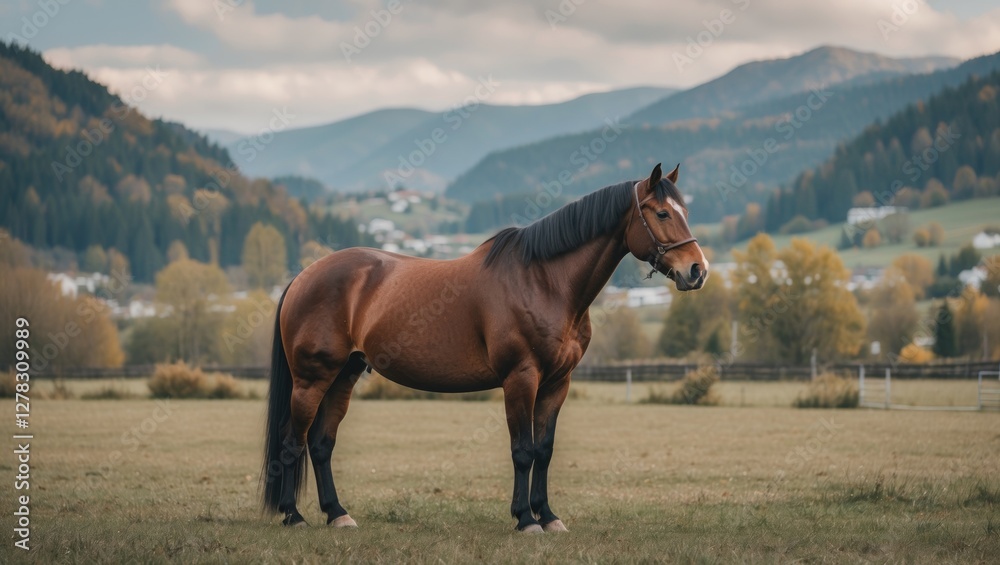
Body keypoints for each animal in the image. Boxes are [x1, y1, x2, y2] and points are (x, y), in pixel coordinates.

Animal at [261, 163, 708, 532]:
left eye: (685, 211)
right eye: (662, 213)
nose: (697, 270)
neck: (544, 282)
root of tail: (304, 276)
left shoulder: (556, 384)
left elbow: (544, 449)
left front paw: (548, 517)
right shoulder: (520, 379)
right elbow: (522, 450)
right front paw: (525, 519)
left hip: (345, 374)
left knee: (321, 444)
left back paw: (338, 514)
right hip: (312, 379)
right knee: (292, 440)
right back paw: (293, 516)